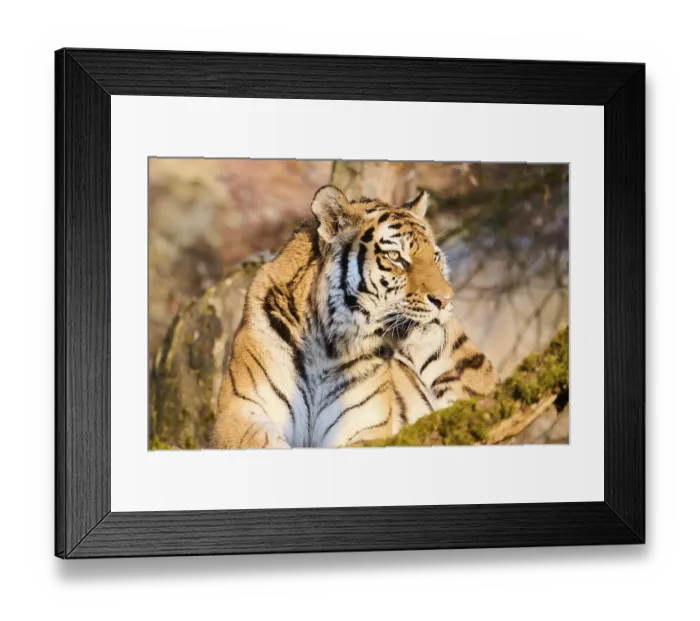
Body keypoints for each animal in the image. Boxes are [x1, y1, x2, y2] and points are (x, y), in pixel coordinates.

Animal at [211, 185, 499, 449]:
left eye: (435, 257)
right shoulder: (240, 411)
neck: (325, 345)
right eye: (395, 256)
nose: (445, 300)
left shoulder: (363, 426)